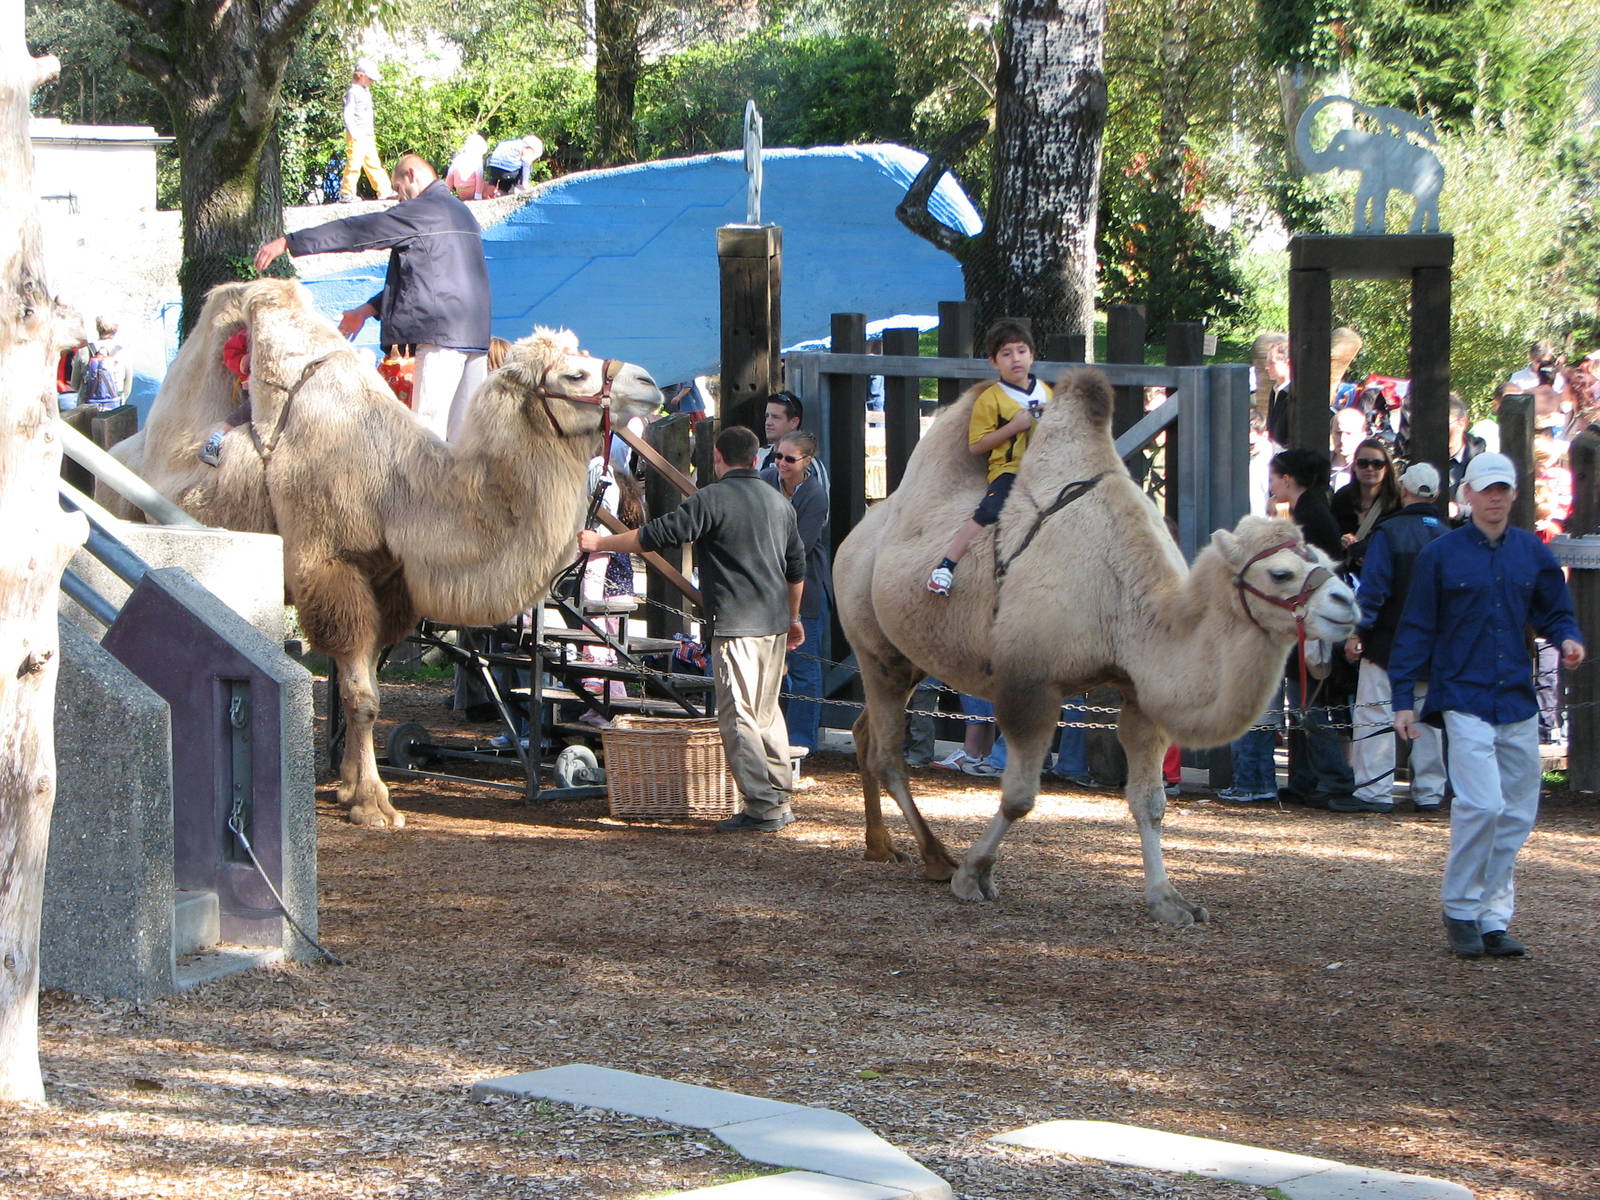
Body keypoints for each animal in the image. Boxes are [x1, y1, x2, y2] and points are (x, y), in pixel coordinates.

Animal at [109, 278, 663, 828]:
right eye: (575, 373)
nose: (649, 382)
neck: (399, 492)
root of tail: (122, 448)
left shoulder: (391, 585)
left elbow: (367, 687)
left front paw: (349, 786)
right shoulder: (332, 567)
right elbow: (363, 696)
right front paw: (374, 803)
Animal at [834, 367, 1357, 925]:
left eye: (1325, 559)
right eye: (1281, 573)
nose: (1347, 603)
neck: (1125, 596)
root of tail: (859, 532)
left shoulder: (1137, 691)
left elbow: (1150, 801)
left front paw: (1170, 901)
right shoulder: (1031, 684)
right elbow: (1020, 797)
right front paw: (973, 875)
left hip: (910, 658)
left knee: (866, 732)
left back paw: (881, 844)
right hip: (873, 646)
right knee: (887, 753)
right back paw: (935, 857)